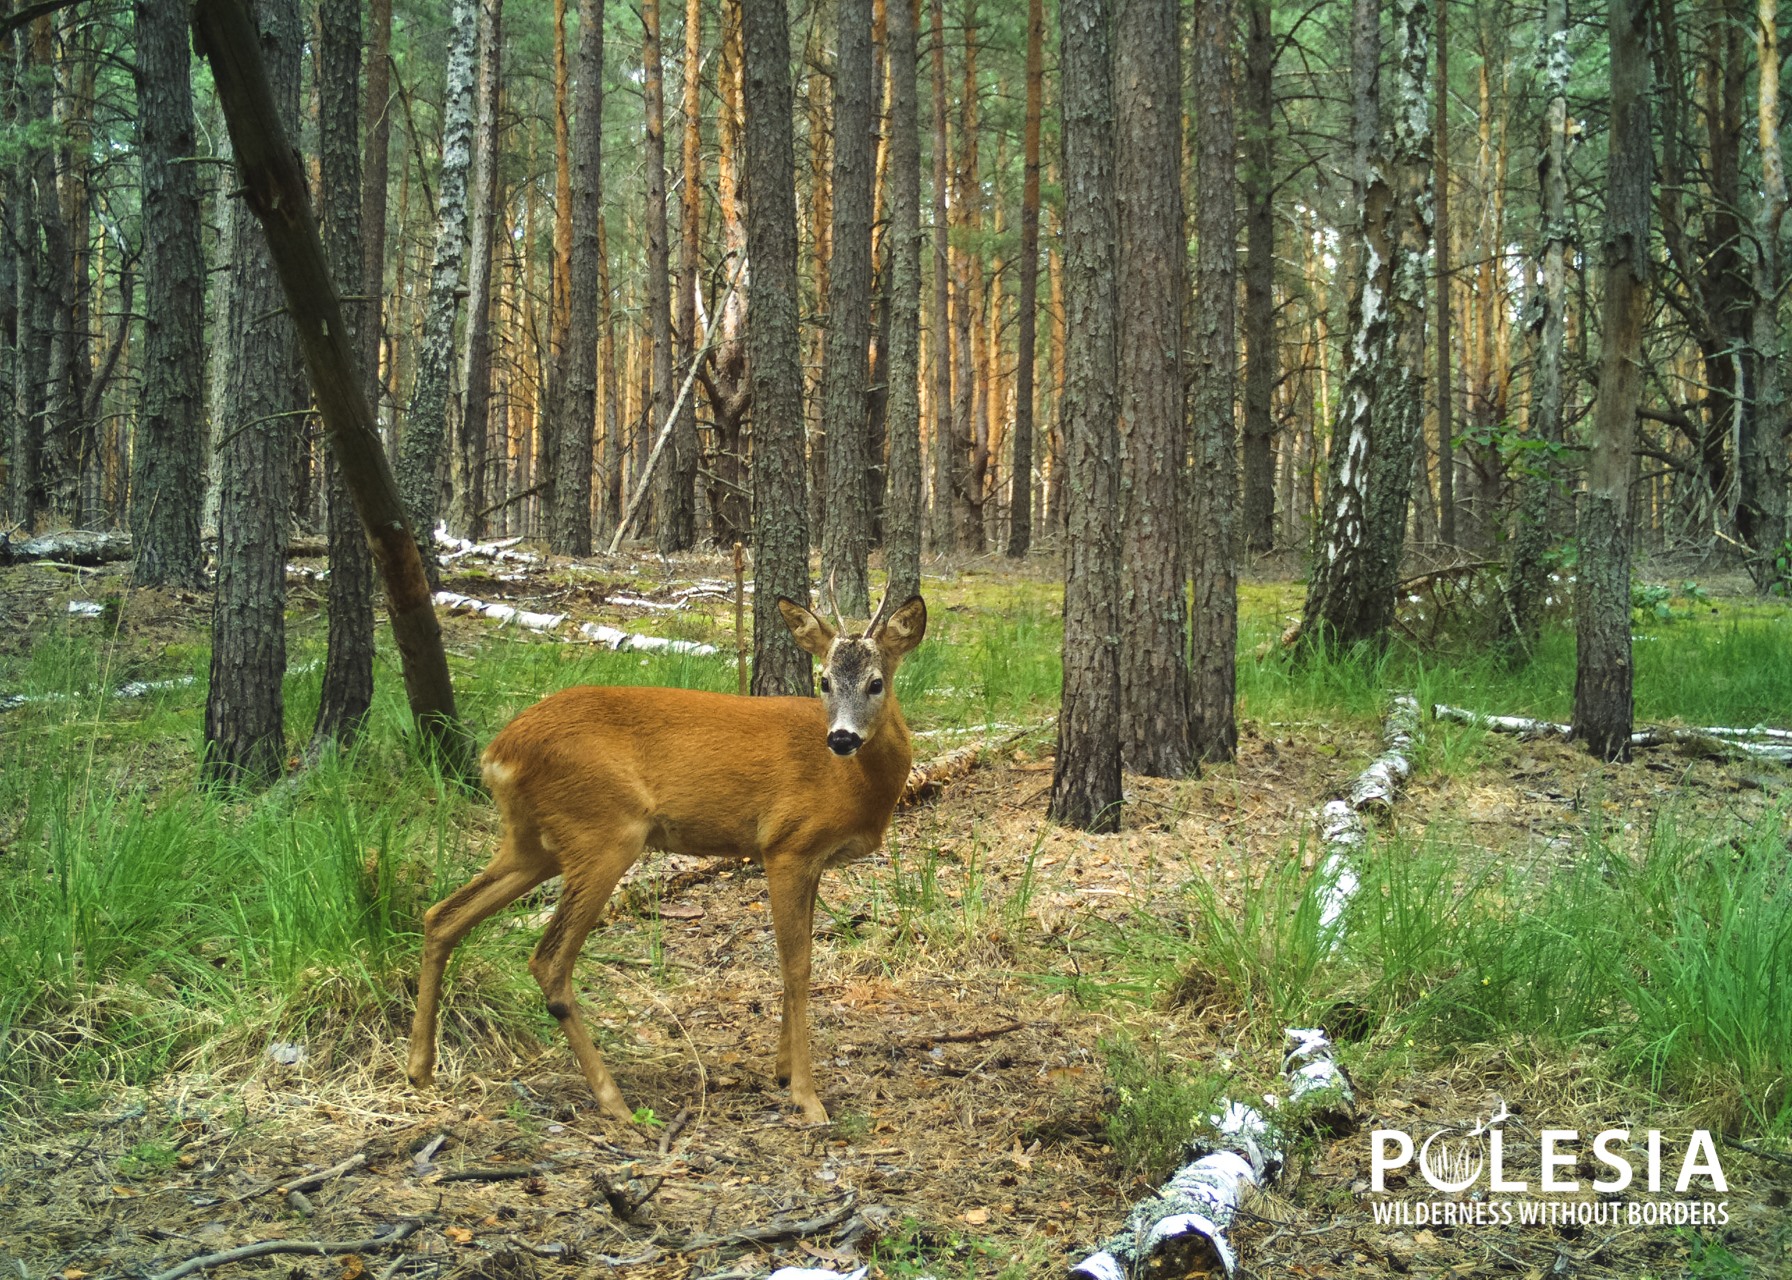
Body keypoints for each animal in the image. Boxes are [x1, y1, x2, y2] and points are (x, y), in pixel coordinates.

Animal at [408, 588, 931, 1118]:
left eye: (876, 683)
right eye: (823, 680)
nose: (841, 738)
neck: (854, 785)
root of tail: (497, 753)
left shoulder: (813, 859)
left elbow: (797, 959)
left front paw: (783, 1072)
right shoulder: (787, 844)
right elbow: (797, 965)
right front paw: (806, 1097)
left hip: (532, 843)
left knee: (442, 915)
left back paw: (420, 1070)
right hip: (604, 832)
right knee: (547, 960)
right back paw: (615, 1103)